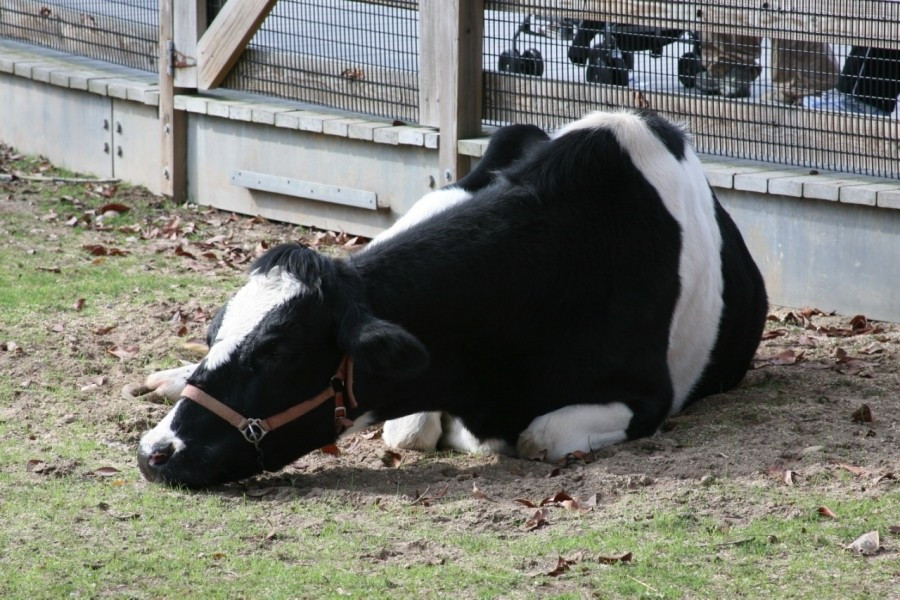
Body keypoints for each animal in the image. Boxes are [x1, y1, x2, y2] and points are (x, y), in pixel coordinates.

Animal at [139, 111, 768, 488]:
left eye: (276, 351)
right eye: (212, 333)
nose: (154, 451)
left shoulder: (648, 397)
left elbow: (540, 437)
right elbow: (407, 430)